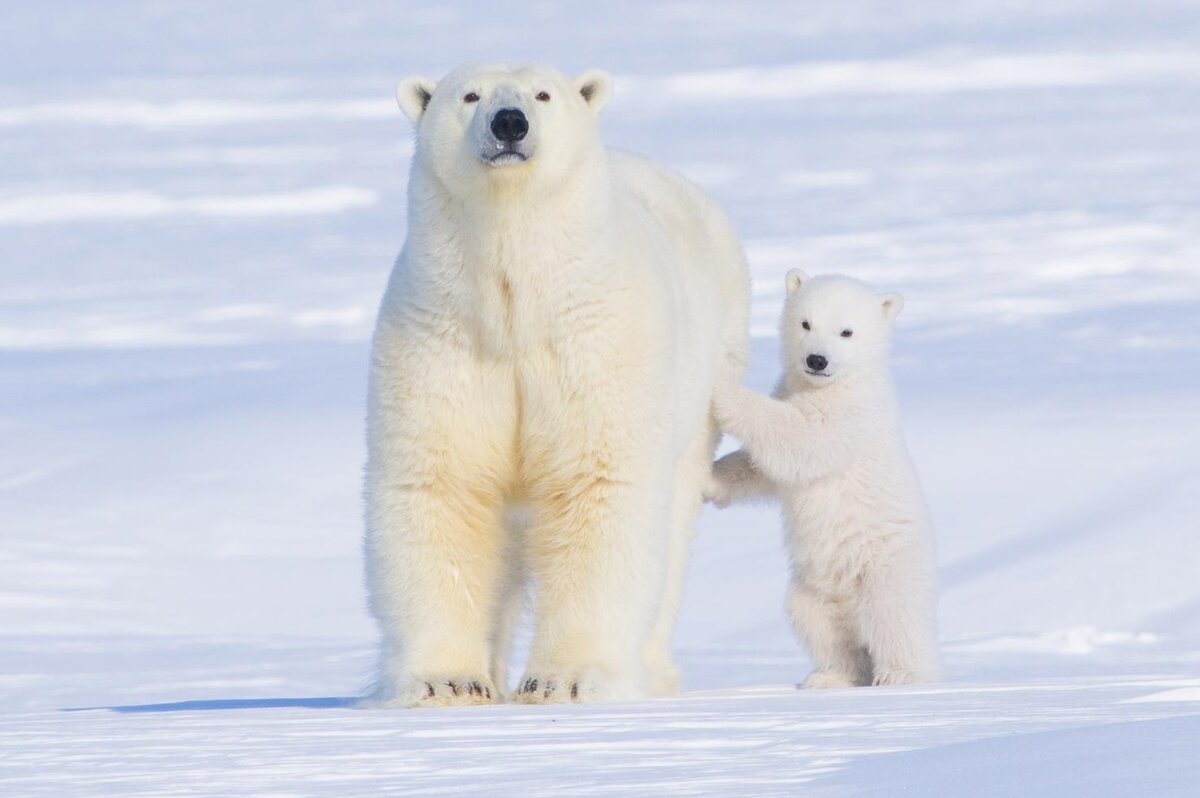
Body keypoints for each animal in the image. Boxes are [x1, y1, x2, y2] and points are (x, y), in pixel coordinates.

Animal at [360, 63, 744, 710]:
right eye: (469, 95)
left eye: (542, 94)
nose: (509, 123)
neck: (517, 305)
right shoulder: (443, 340)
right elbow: (444, 486)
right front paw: (448, 682)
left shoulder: (595, 342)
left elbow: (597, 484)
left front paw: (565, 681)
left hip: (706, 378)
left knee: (671, 529)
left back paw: (651, 669)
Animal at [705, 272, 940, 686]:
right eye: (805, 323)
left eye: (846, 331)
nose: (817, 360)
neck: (838, 382)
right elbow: (765, 469)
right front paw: (711, 479)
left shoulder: (852, 414)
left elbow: (801, 438)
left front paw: (723, 389)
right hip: (815, 586)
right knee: (816, 620)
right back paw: (831, 676)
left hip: (886, 561)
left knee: (893, 614)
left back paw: (902, 675)